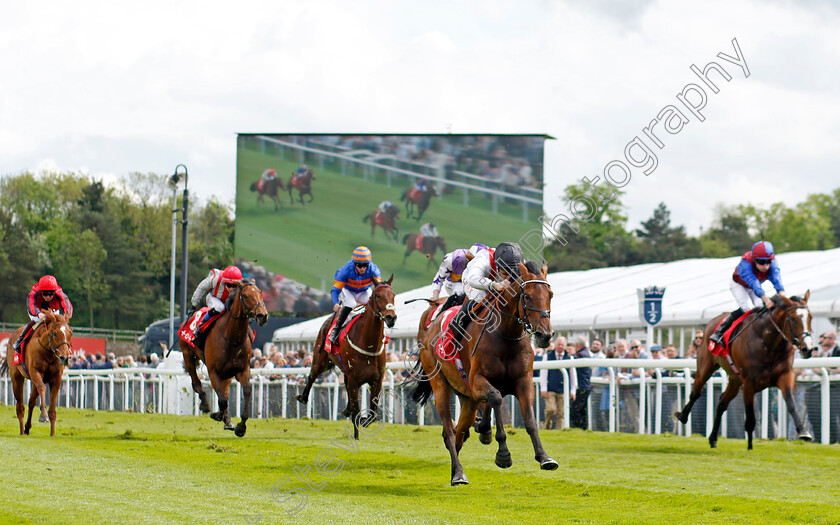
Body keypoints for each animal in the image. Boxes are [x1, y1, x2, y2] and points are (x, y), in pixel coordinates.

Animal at [180, 280, 266, 436]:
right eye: (245, 295)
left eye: (260, 292)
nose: (263, 315)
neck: (231, 337)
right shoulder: (214, 371)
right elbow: (223, 400)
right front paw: (217, 414)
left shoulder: (242, 370)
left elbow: (246, 391)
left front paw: (240, 426)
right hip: (187, 354)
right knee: (196, 383)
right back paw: (205, 404)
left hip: (227, 374)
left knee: (224, 392)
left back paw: (227, 420)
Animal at [296, 278, 398, 438]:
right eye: (377, 295)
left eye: (393, 295)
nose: (391, 317)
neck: (368, 344)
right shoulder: (354, 380)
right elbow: (357, 411)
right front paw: (356, 436)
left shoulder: (377, 380)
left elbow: (373, 414)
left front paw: (363, 420)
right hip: (321, 360)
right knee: (312, 375)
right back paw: (303, 397)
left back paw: (347, 409)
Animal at [412, 260, 556, 486]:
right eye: (527, 296)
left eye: (550, 294)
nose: (545, 335)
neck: (506, 335)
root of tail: (430, 327)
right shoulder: (478, 381)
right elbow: (496, 398)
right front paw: (503, 453)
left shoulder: (523, 382)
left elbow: (530, 420)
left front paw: (544, 457)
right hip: (440, 384)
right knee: (449, 431)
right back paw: (459, 474)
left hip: (467, 398)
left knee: (460, 431)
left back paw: (458, 467)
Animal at [672, 292, 816, 448]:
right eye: (793, 318)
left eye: (810, 317)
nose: (808, 349)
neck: (767, 343)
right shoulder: (749, 383)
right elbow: (751, 419)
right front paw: (750, 447)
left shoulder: (785, 376)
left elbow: (791, 404)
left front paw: (803, 432)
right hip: (705, 367)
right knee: (696, 393)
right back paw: (682, 416)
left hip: (735, 380)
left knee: (722, 402)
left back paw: (713, 438)